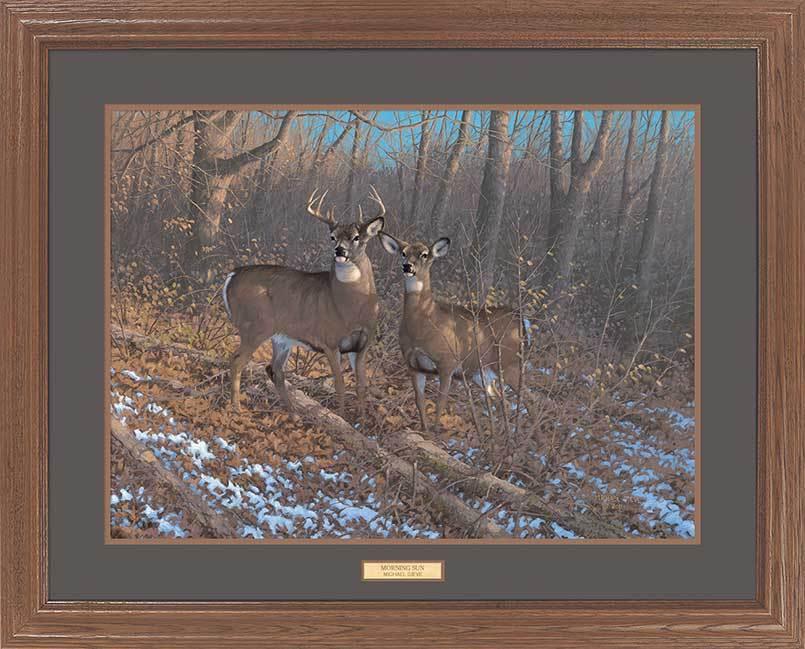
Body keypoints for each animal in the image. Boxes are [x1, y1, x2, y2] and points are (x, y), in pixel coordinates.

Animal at [223, 187, 386, 417]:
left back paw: (293, 413)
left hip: (281, 337)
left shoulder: (361, 345)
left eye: (356, 237)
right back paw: (237, 407)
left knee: (274, 369)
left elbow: (361, 386)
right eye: (332, 236)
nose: (340, 251)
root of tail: (232, 275)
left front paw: (361, 420)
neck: (353, 309)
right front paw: (341, 416)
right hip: (255, 325)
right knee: (237, 360)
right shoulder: (329, 341)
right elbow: (340, 384)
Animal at [379, 232, 523, 432]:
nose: (407, 266)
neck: (423, 323)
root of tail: (521, 320)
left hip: (510, 363)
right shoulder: (413, 365)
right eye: (403, 253)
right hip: (482, 373)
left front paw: (436, 432)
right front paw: (424, 430)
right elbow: (419, 400)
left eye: (425, 254)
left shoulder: (447, 362)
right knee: (502, 400)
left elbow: (441, 401)